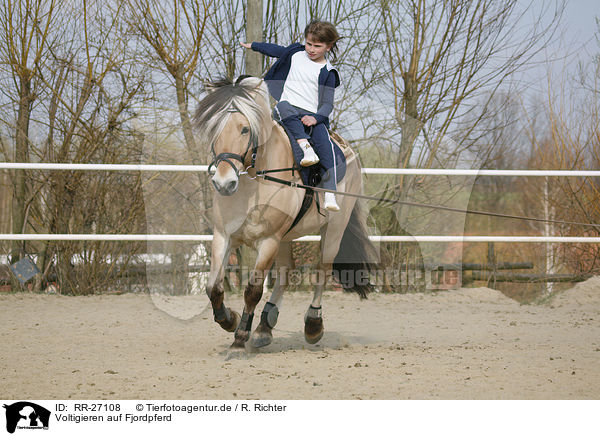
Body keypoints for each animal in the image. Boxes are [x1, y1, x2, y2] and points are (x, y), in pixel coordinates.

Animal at [195, 75, 378, 354]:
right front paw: (230, 320)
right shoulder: (224, 236)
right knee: (285, 272)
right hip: (285, 238)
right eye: (214, 128)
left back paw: (313, 325)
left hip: (332, 230)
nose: (224, 183)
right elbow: (212, 287)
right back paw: (264, 327)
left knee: (322, 270)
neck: (256, 182)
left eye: (244, 129)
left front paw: (239, 338)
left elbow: (253, 290)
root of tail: (348, 152)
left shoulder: (268, 240)